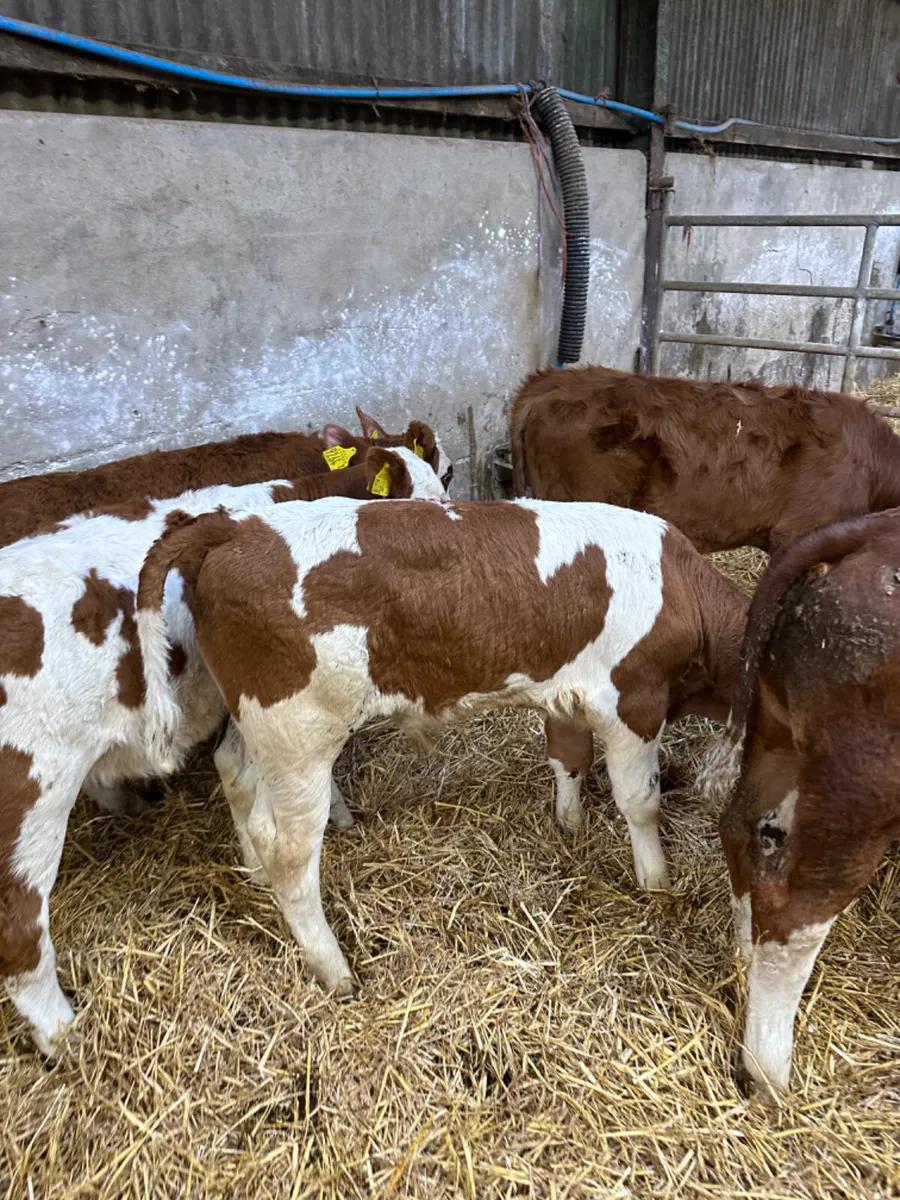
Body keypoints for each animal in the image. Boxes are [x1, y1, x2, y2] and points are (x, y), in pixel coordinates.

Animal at [0, 442, 447, 1055]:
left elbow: (238, 774)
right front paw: (332, 821)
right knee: (20, 930)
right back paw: (67, 1036)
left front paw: (259, 861)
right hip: (33, 792)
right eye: (425, 501)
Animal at [135, 497, 749, 1004]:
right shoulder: (634, 701)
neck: (680, 590)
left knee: (234, 772)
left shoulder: (565, 693)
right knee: (286, 849)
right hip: (297, 731)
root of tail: (236, 525)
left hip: (256, 722)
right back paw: (334, 970)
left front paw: (569, 824)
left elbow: (568, 758)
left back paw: (253, 872)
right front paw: (657, 883)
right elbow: (641, 803)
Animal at [702, 508, 900, 1100]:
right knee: (799, 909)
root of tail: (864, 534)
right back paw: (767, 1071)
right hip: (859, 784)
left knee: (739, 826)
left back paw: (741, 956)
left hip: (776, 731)